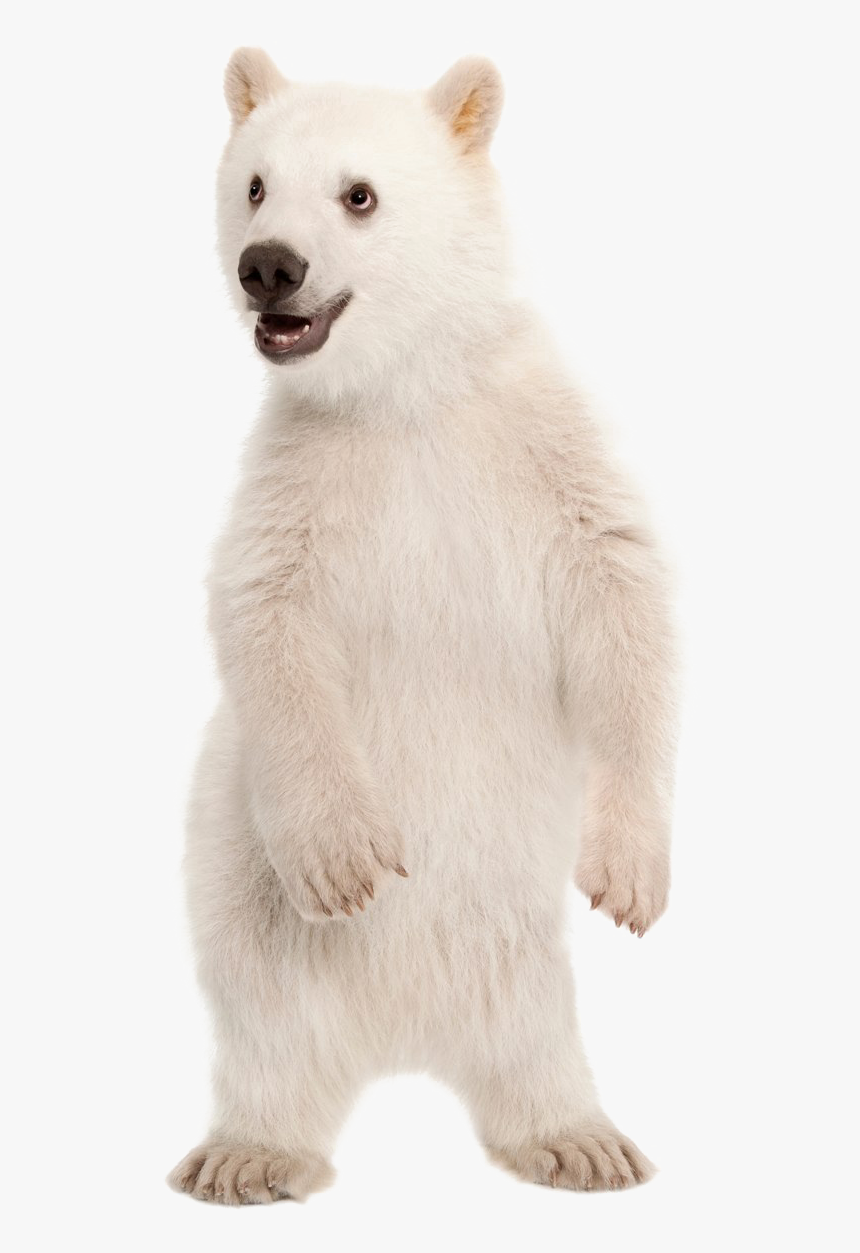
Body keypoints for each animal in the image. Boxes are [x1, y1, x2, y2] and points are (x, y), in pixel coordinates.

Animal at [168, 48, 678, 1204]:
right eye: (254, 185)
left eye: (358, 195)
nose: (268, 268)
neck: (401, 393)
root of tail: (401, 1043)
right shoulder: (303, 470)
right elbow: (265, 618)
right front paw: (346, 859)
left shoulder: (534, 438)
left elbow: (619, 587)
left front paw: (630, 870)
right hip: (244, 892)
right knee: (266, 1022)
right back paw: (249, 1153)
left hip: (516, 958)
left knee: (536, 1036)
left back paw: (577, 1140)